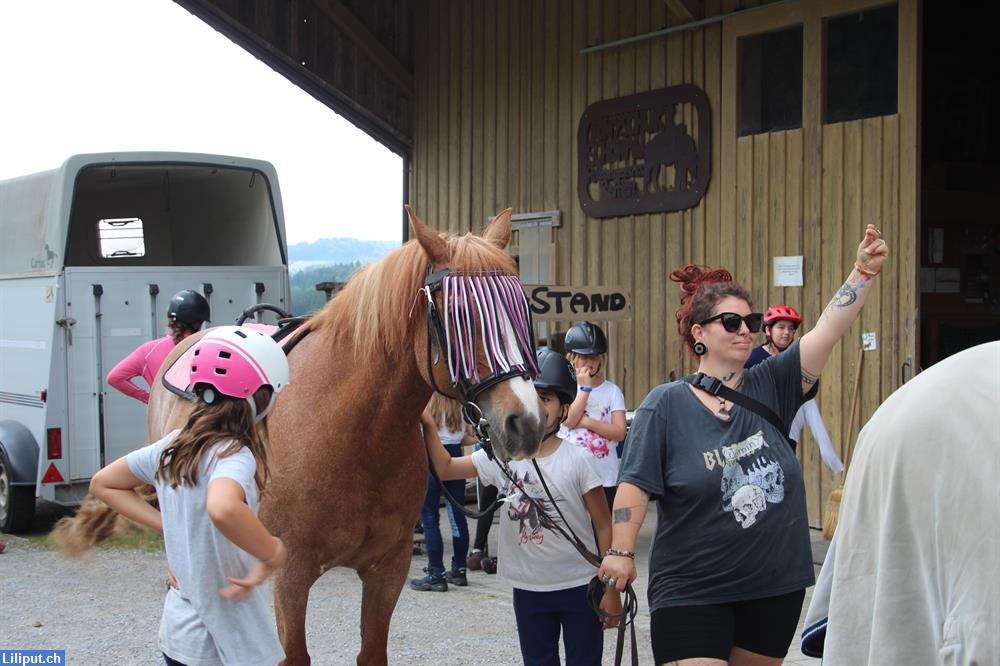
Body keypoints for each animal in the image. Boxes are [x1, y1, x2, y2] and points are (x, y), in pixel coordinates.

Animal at [52, 205, 540, 660]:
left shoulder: (387, 569)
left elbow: (372, 650)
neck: (355, 437)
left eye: (523, 309)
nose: (526, 423)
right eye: (459, 314)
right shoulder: (291, 573)